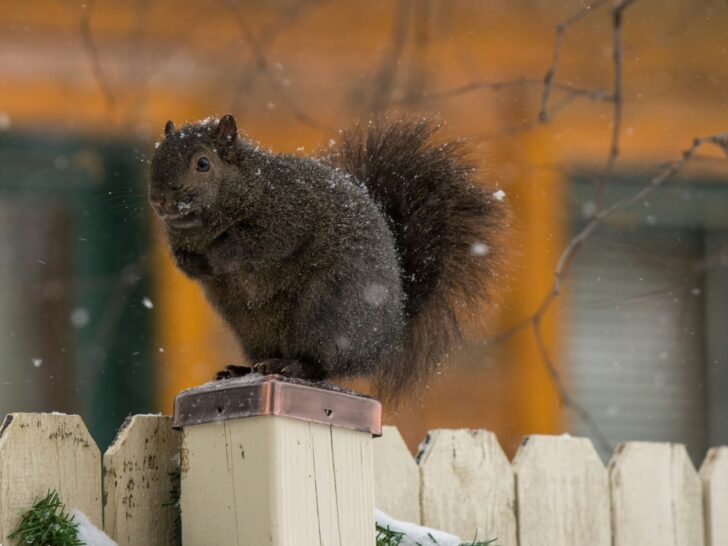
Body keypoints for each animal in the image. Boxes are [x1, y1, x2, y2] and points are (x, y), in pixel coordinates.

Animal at [148, 115, 506, 398]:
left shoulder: (289, 211)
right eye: (156, 156)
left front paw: (219, 252)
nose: (159, 200)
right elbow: (187, 264)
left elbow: (265, 242)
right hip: (253, 328)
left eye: (203, 163)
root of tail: (387, 335)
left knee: (322, 365)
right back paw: (243, 369)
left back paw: (292, 366)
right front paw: (194, 262)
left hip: (327, 311)